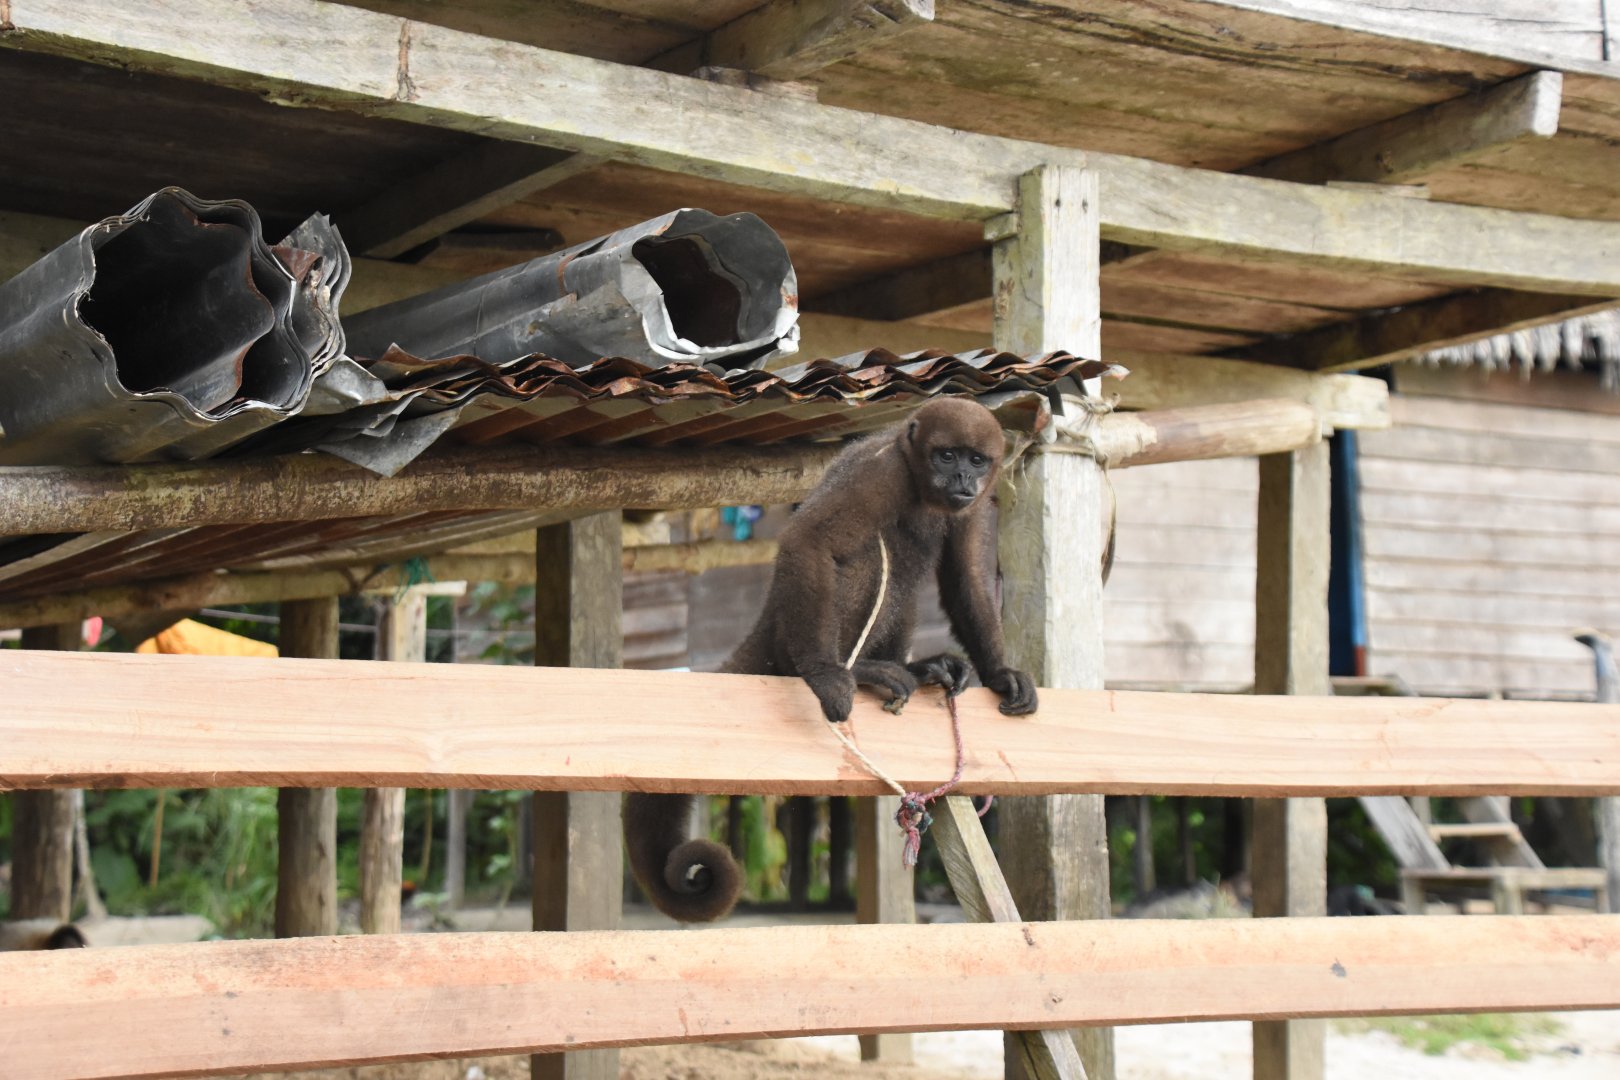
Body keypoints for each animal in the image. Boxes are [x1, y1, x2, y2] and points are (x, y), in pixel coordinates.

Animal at [625, 397, 1038, 923]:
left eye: (976, 460)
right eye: (945, 456)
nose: (962, 476)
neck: (922, 486)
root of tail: (771, 619)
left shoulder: (976, 504)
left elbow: (966, 574)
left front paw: (1000, 674)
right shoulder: (882, 473)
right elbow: (811, 540)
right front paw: (826, 676)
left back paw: (920, 668)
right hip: (792, 637)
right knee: (869, 553)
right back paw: (856, 669)